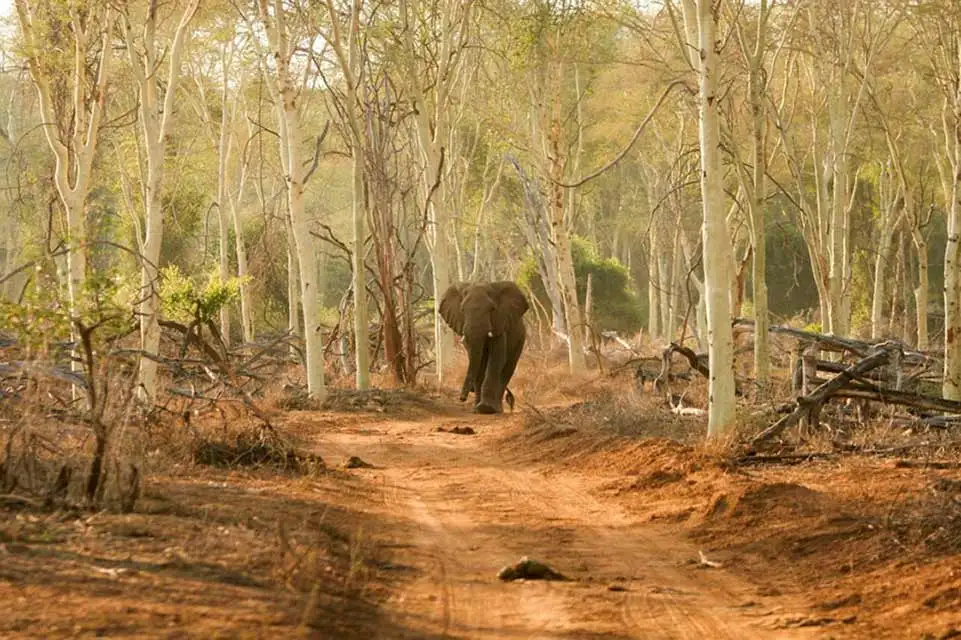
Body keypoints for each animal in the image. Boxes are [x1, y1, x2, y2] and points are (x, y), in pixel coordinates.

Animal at [439, 281, 529, 414]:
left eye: (492, 309)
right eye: (462, 309)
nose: (462, 398)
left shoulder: (499, 324)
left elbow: (496, 358)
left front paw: (486, 408)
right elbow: (479, 362)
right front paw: (477, 409)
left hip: (520, 340)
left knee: (507, 370)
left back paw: (498, 409)